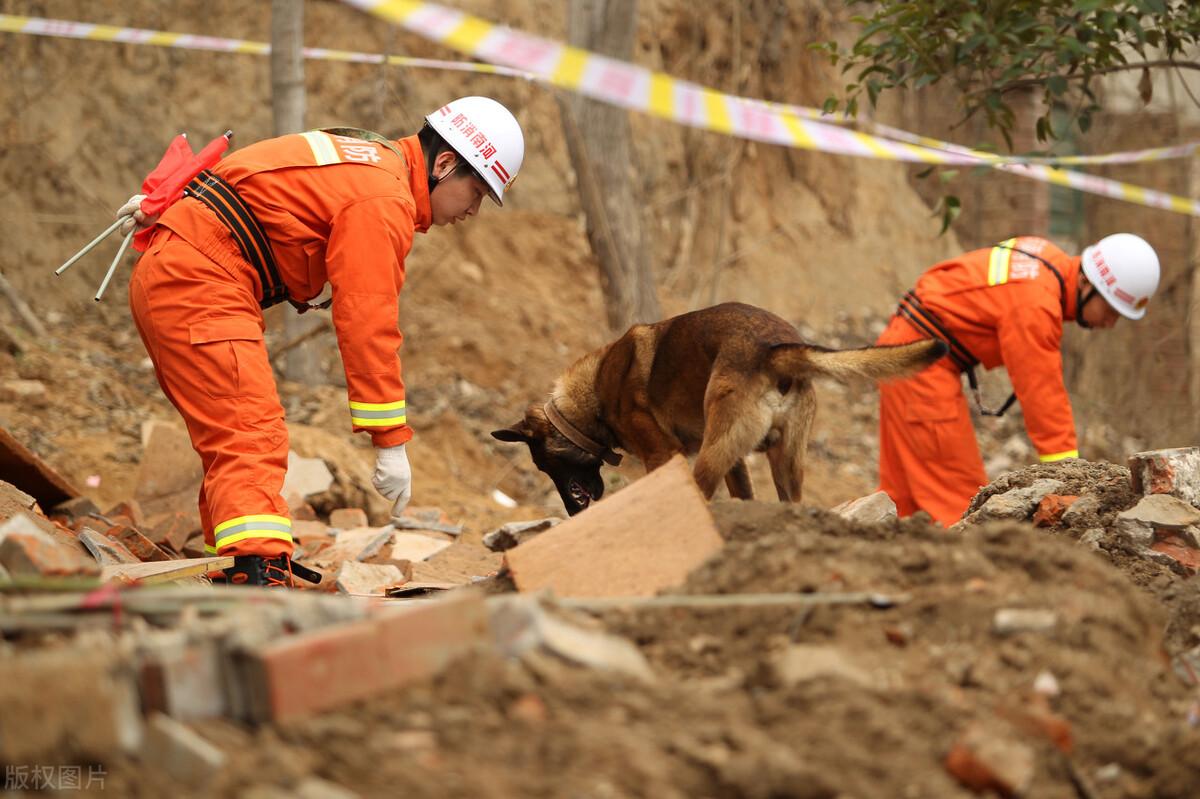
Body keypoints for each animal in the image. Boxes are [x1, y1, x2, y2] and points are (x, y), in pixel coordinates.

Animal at [489, 302, 945, 513]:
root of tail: (774, 350)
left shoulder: (663, 455)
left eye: (543, 464)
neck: (591, 397)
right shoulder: (738, 463)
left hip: (710, 457)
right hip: (781, 460)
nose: (572, 512)